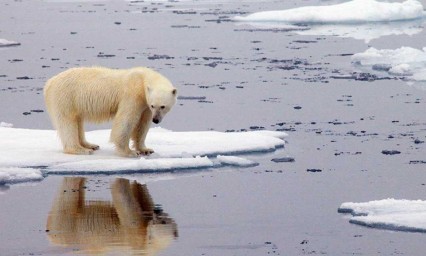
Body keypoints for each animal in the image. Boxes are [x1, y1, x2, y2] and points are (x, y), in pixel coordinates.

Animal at [43, 67, 176, 157]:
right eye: (154, 105)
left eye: (163, 106)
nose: (156, 120)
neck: (142, 79)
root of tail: (49, 83)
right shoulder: (132, 96)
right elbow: (126, 121)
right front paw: (130, 152)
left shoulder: (145, 105)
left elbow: (142, 125)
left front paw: (146, 149)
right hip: (65, 97)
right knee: (67, 122)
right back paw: (80, 149)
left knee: (78, 121)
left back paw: (90, 145)